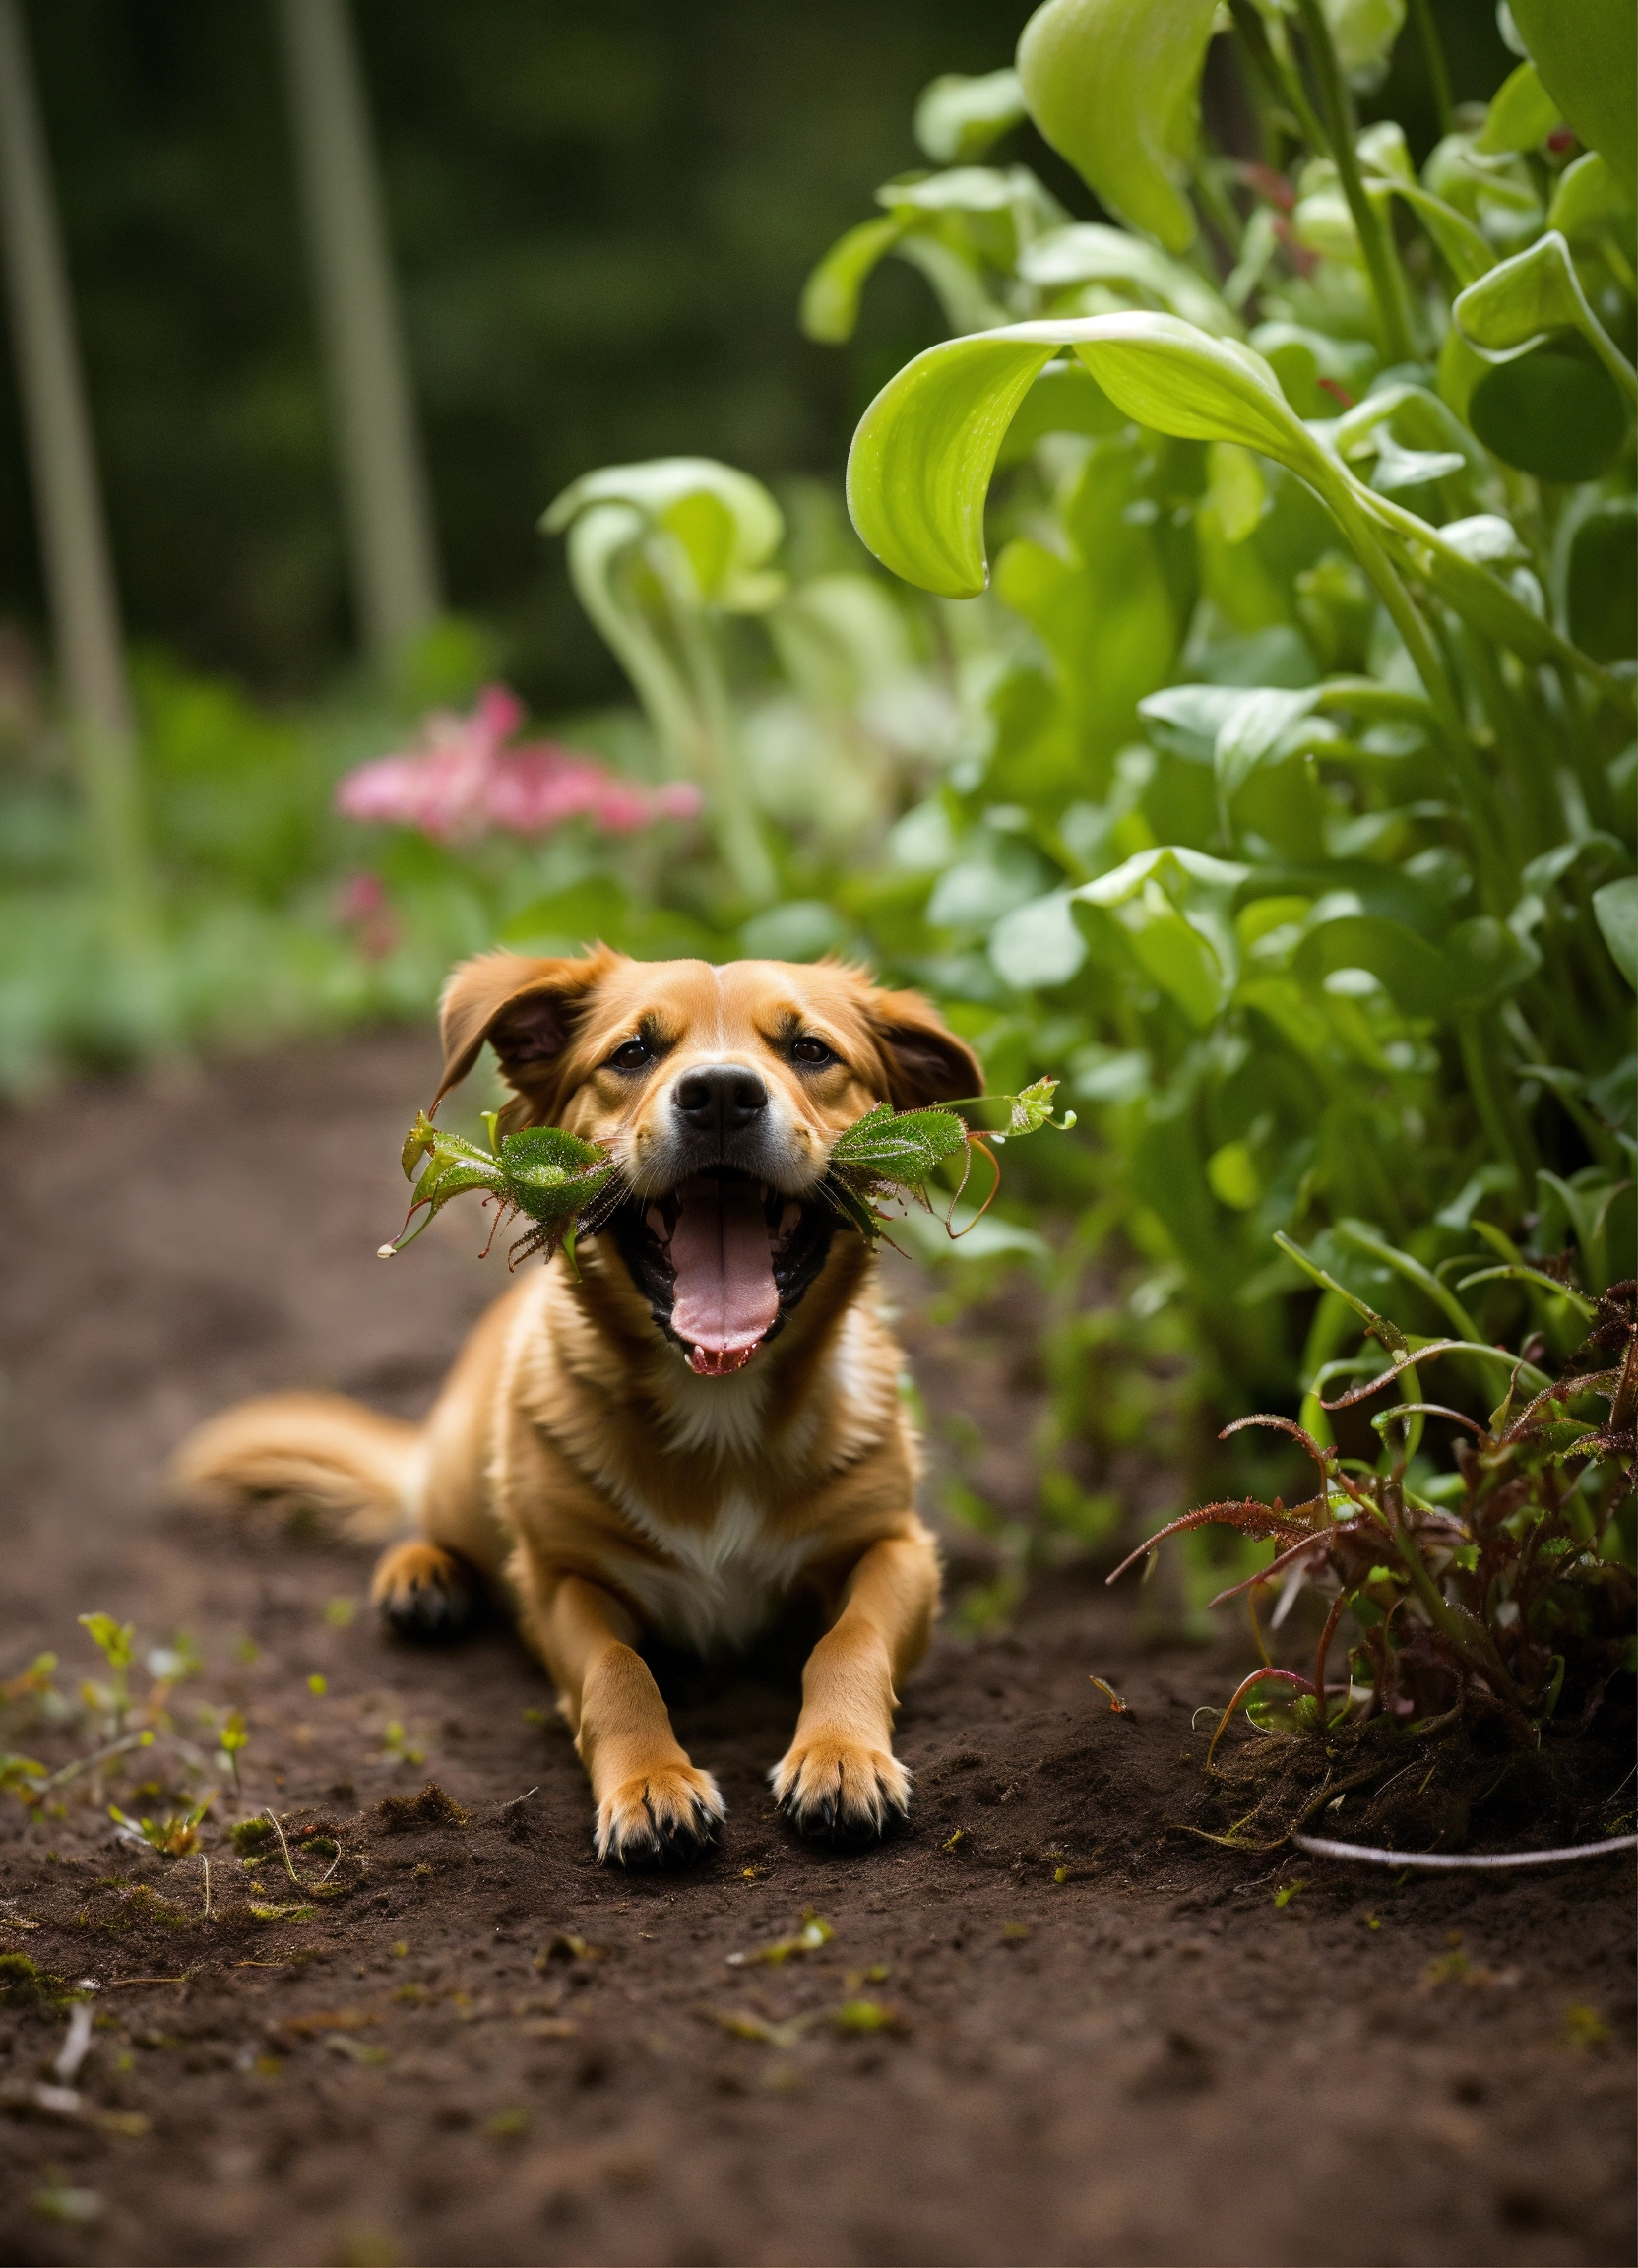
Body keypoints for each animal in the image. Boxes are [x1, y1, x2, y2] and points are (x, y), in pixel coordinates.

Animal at [172, 952, 976, 1859]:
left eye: (810, 1050)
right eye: (633, 1052)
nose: (721, 1094)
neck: (720, 1403)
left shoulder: (897, 1546)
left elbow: (850, 1638)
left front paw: (840, 1753)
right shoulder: (561, 1579)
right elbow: (616, 1673)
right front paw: (653, 1780)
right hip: (463, 1475)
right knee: (429, 1518)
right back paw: (422, 1574)